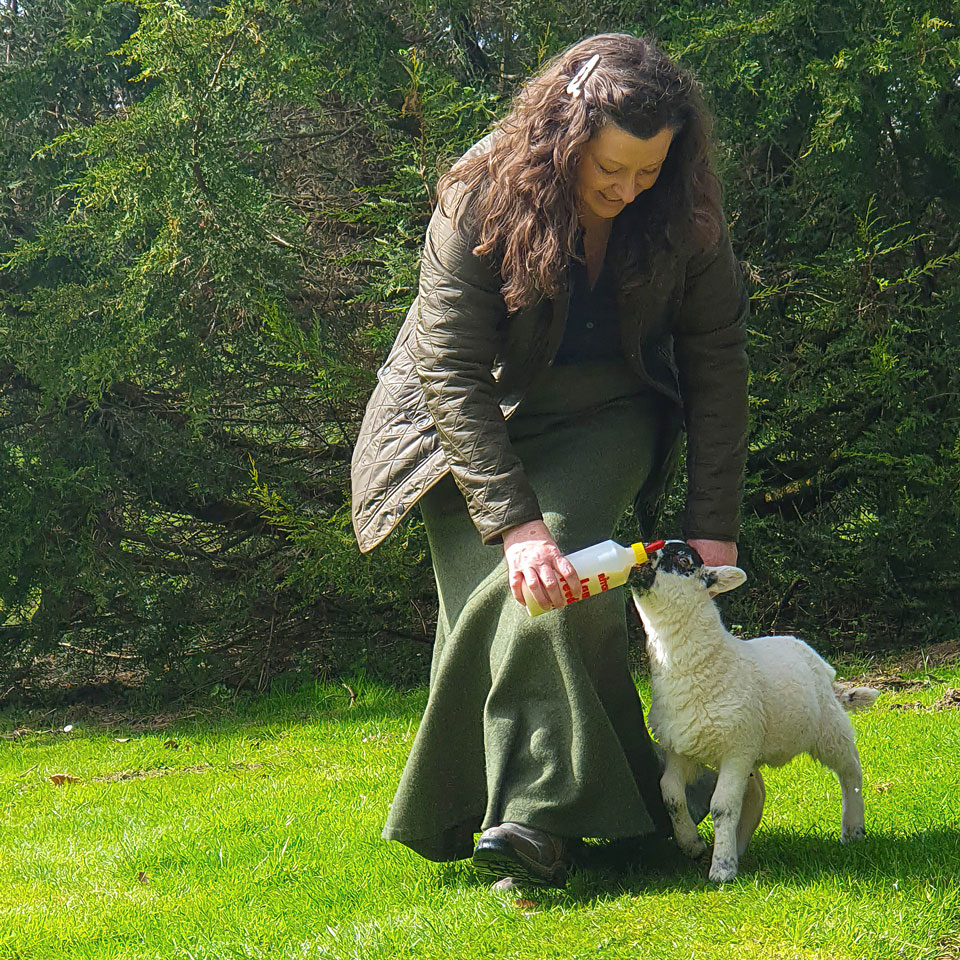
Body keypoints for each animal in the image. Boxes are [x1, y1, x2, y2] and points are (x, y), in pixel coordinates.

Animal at [632, 544, 876, 880]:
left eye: (683, 560)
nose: (639, 561)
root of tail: (818, 662)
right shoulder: (679, 747)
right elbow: (670, 794)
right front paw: (692, 844)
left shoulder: (736, 748)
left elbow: (721, 806)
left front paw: (721, 870)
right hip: (755, 746)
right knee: (757, 792)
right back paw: (740, 844)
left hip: (827, 727)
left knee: (851, 770)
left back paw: (853, 829)